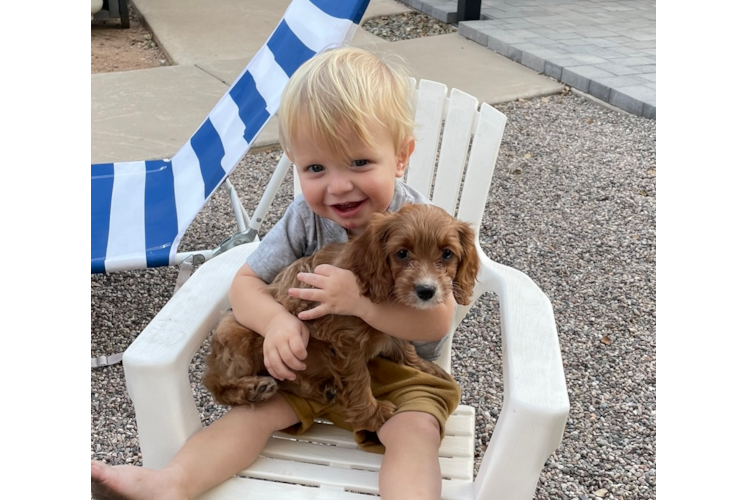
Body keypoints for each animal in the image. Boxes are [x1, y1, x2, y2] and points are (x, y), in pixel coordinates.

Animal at [203, 202, 480, 430]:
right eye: (401, 253)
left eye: (447, 254)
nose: (426, 291)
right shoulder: (346, 341)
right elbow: (359, 380)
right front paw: (374, 415)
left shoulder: (388, 329)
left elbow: (405, 347)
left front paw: (427, 369)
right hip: (235, 331)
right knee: (216, 385)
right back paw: (253, 389)